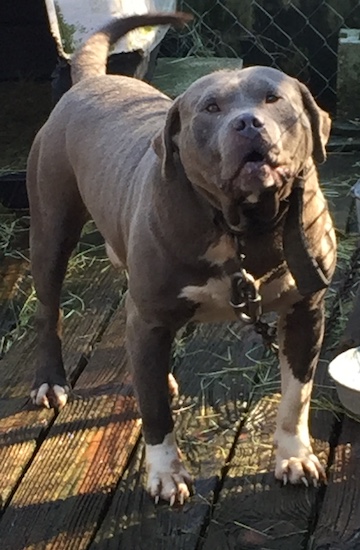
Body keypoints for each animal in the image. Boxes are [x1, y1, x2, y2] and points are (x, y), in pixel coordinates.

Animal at [28, 12, 338, 506]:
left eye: (273, 98)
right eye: (210, 108)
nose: (248, 123)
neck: (244, 225)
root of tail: (91, 81)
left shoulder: (306, 311)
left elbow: (296, 396)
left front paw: (294, 456)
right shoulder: (150, 315)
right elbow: (155, 412)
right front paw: (165, 473)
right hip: (52, 233)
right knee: (49, 312)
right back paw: (50, 379)